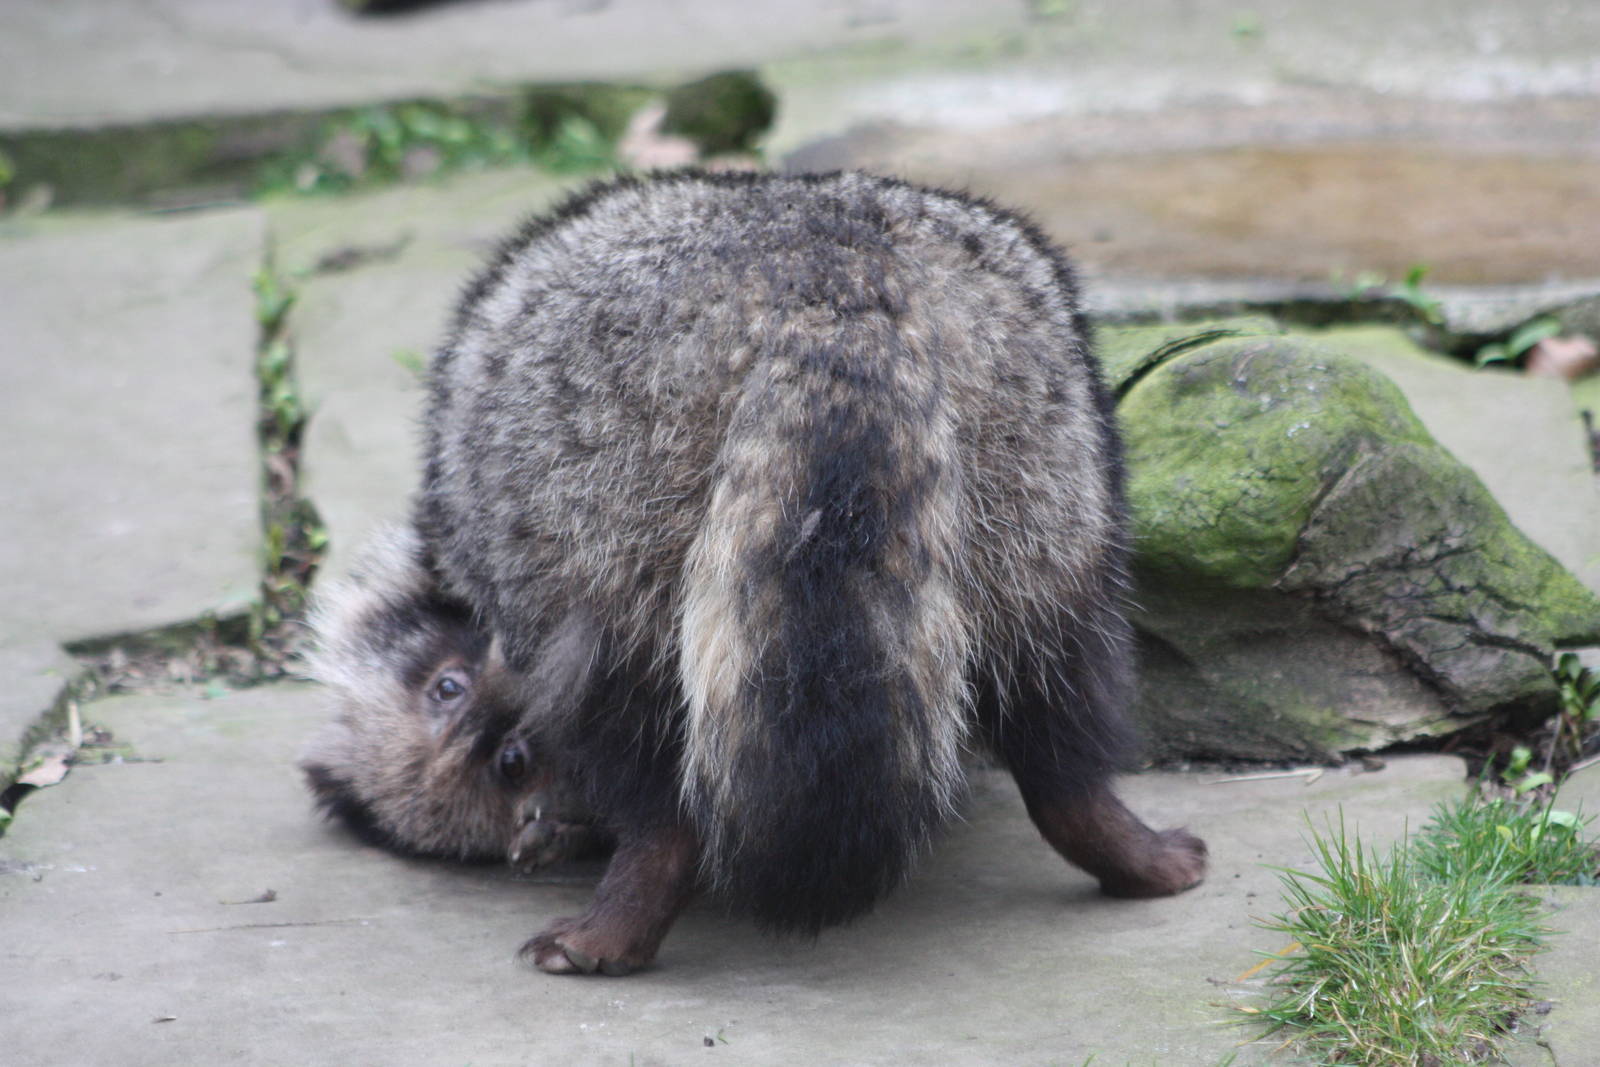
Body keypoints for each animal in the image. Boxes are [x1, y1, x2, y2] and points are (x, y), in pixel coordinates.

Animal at [351, 170, 1204, 975]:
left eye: (508, 757)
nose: (505, 723)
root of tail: (831, 289)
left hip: (599, 503)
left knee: (622, 704)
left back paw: (643, 874)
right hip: (1046, 460)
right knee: (1057, 671)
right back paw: (1098, 819)